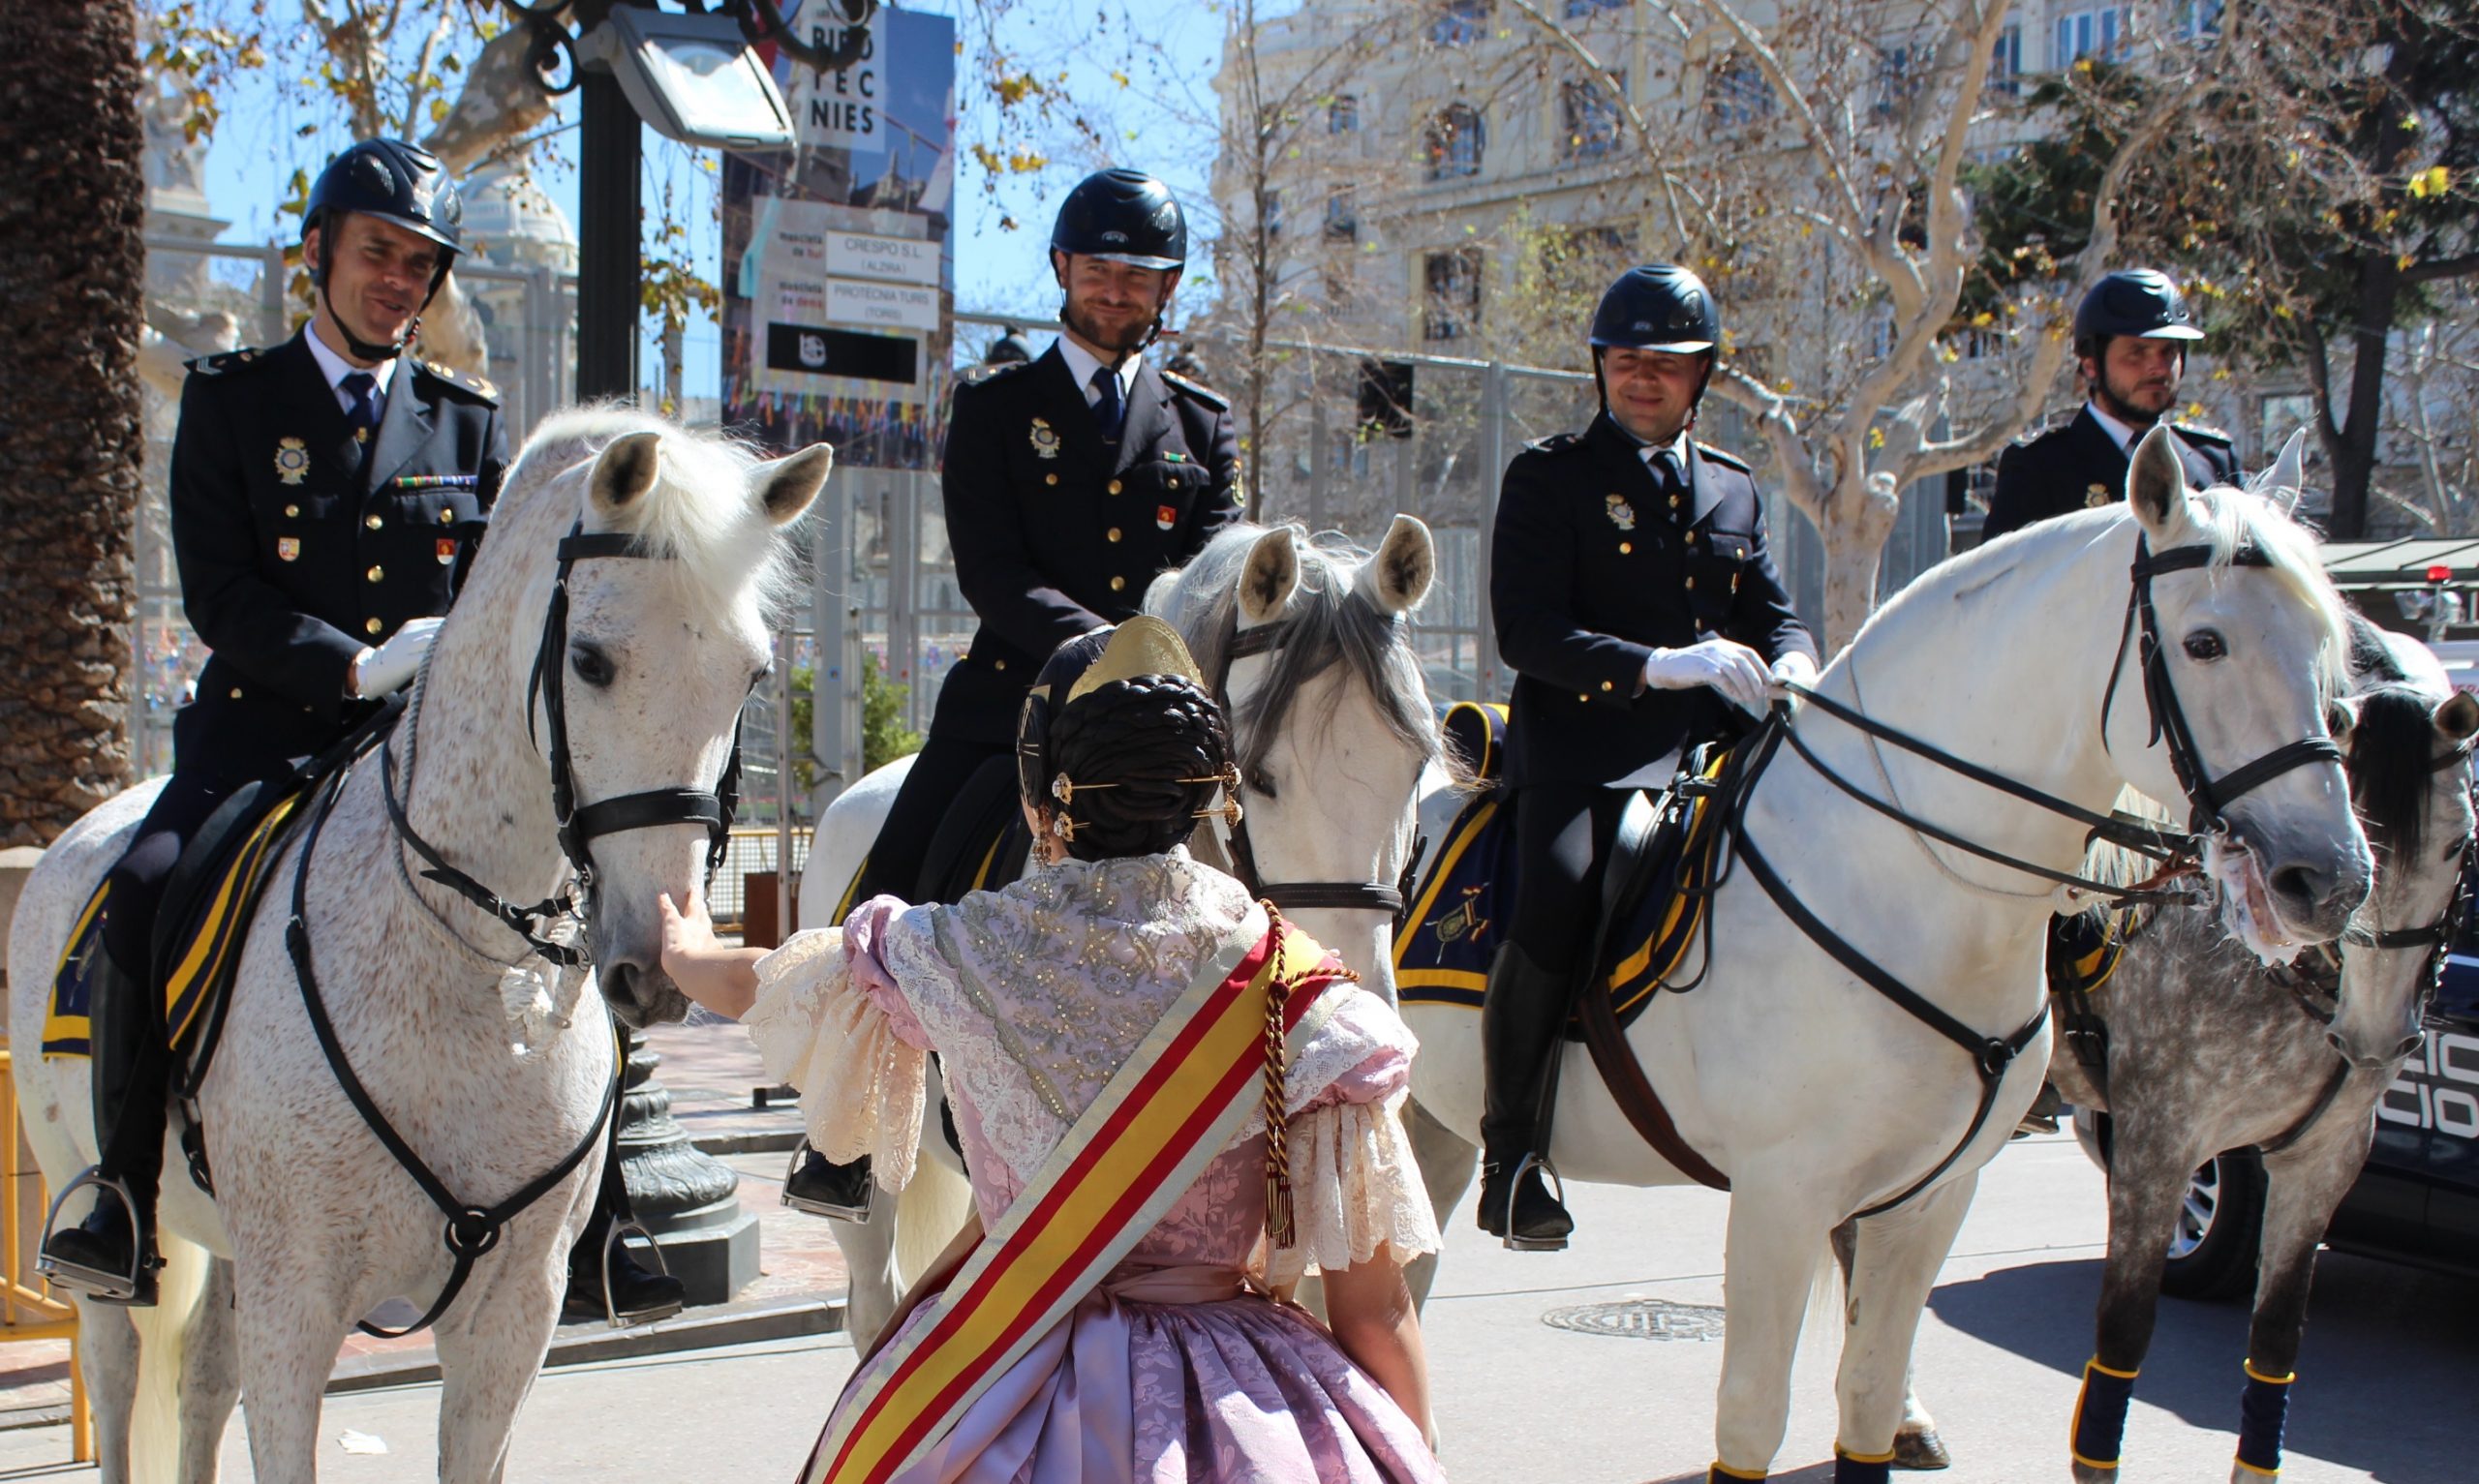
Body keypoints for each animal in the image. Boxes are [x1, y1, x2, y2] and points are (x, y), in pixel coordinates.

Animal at [7, 409, 833, 1484]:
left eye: (752, 673)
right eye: (591, 659)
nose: (651, 962)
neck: (469, 974)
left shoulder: (514, 1312)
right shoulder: (297, 1303)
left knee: (201, 1383)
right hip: (101, 1221)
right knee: (119, 1374)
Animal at [1408, 428, 2370, 1476]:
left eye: (2331, 647)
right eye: (2204, 642)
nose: (2328, 877)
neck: (1900, 878)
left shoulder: (1931, 1195)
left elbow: (1865, 1396)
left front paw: (1897, 1421)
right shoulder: (1780, 1196)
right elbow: (1752, 1414)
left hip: (1436, 1121)